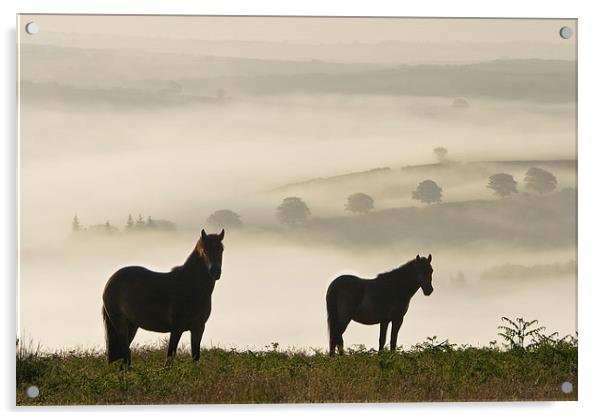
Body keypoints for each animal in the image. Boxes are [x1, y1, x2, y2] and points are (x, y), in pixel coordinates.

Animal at [102, 228, 224, 366]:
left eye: (221, 249)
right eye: (204, 250)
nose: (215, 271)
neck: (189, 287)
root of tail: (110, 281)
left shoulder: (198, 328)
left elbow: (195, 357)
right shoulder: (176, 329)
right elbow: (169, 358)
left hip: (131, 325)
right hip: (120, 324)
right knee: (125, 353)